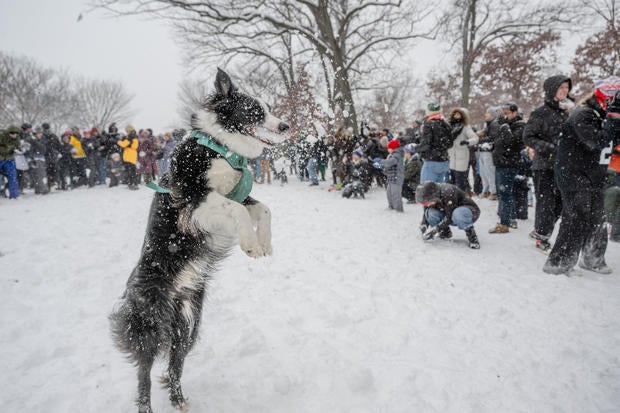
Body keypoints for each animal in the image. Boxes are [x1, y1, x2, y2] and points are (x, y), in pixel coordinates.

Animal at [109, 68, 288, 412]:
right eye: (254, 111)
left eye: (270, 109)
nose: (285, 126)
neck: (219, 147)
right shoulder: (194, 200)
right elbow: (239, 212)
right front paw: (250, 244)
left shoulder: (237, 195)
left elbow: (264, 209)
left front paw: (265, 244)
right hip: (150, 323)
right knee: (144, 371)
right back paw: (147, 405)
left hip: (188, 326)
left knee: (175, 362)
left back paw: (179, 400)